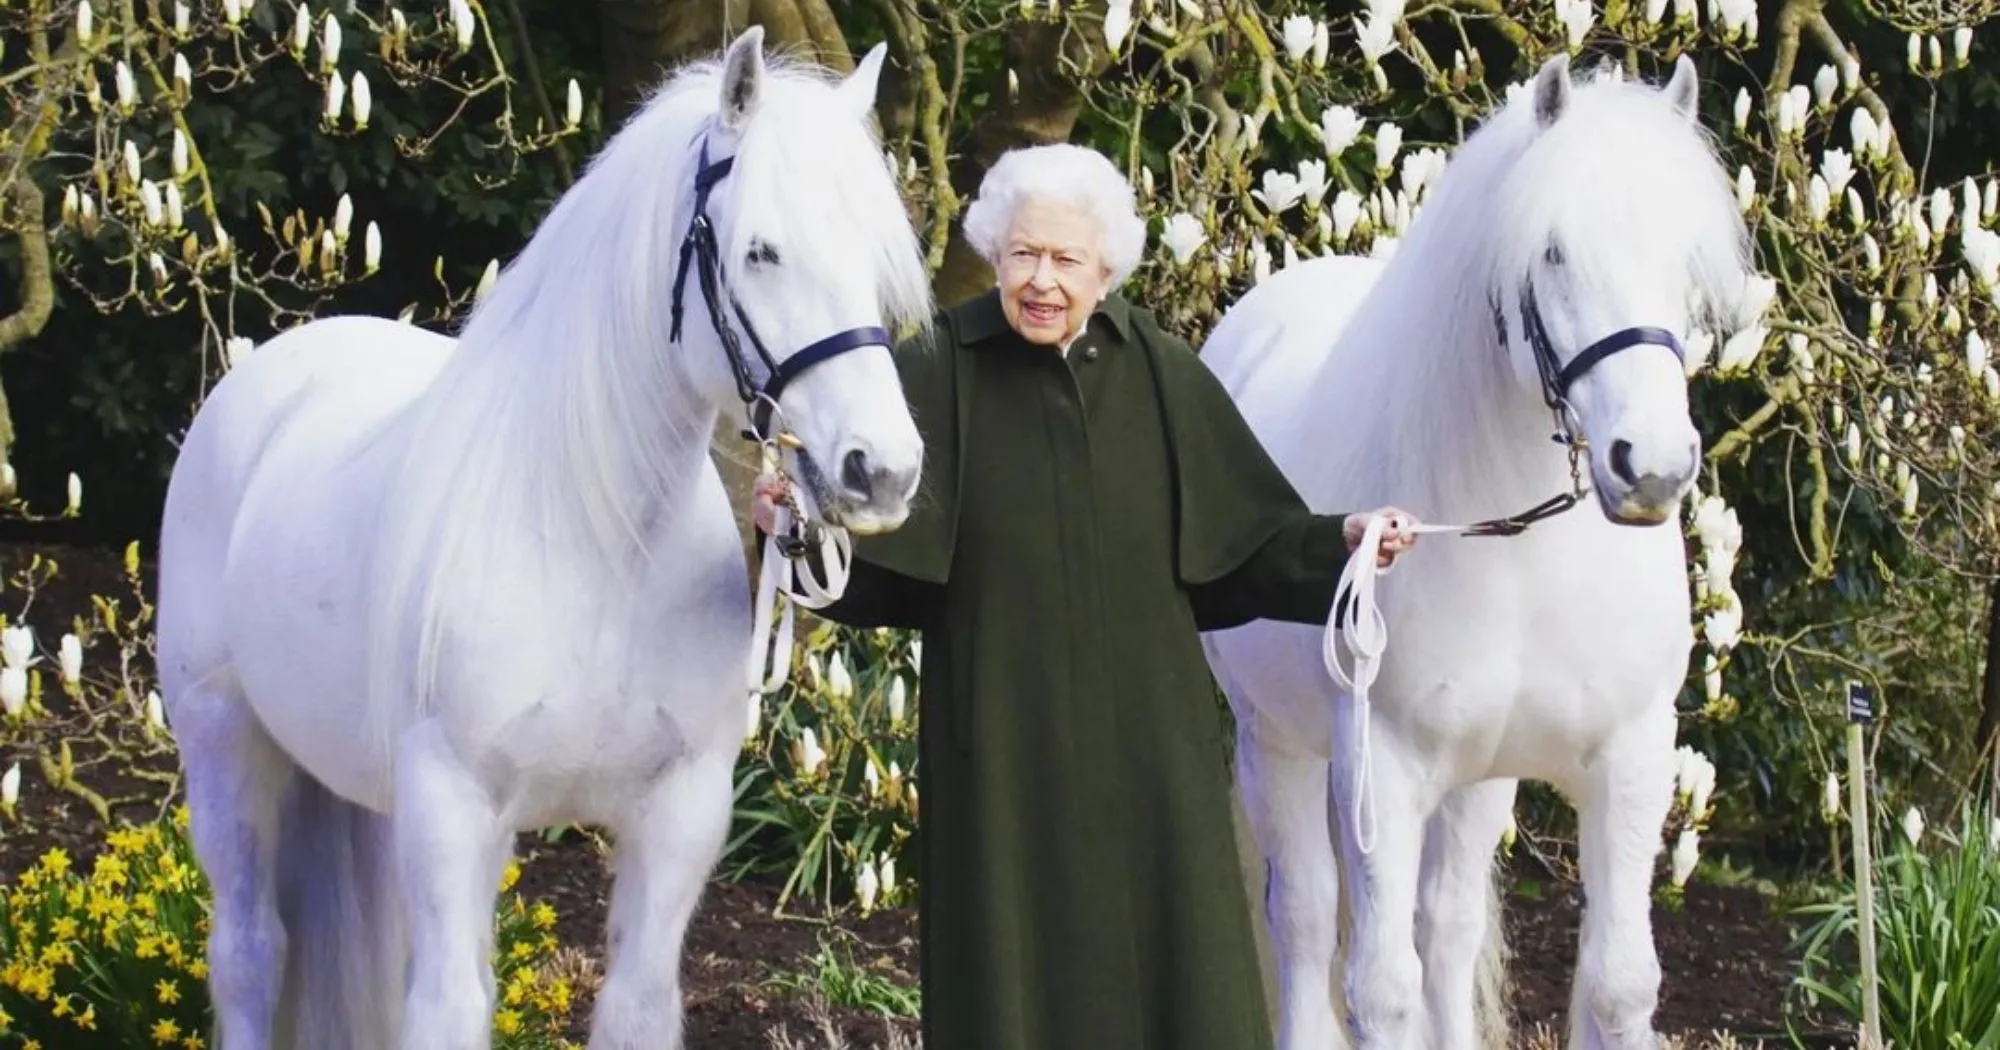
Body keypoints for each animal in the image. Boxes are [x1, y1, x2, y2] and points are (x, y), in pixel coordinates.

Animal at [158, 28, 936, 1040]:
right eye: (762, 250)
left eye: (875, 257)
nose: (881, 471)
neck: (596, 546)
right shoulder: (454, 810)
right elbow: (448, 1009)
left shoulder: (678, 815)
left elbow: (635, 1006)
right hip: (226, 748)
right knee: (250, 957)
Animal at [1200, 55, 1752, 1048]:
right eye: (1554, 251)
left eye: (1685, 261)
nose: (1650, 466)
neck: (1521, 554)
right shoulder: (1381, 770)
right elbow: (1380, 989)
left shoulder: (1629, 760)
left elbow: (1618, 982)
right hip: (1279, 745)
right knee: (1305, 920)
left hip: (1475, 782)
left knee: (1446, 929)